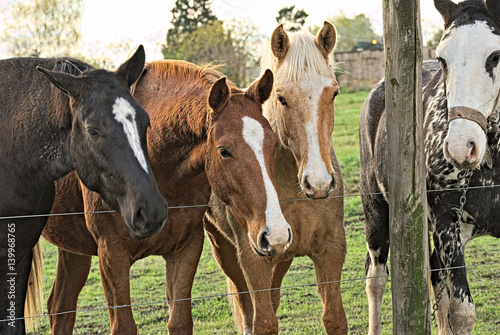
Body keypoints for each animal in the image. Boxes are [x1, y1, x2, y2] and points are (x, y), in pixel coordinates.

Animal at [37, 59, 288, 334]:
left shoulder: (186, 248)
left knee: (60, 307)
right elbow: (124, 326)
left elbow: (180, 322)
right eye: (224, 151)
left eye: (274, 144)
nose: (276, 235)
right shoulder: (112, 255)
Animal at [203, 21, 348, 335]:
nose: (318, 183)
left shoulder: (330, 249)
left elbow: (334, 318)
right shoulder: (253, 259)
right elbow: (263, 321)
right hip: (223, 249)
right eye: (281, 98)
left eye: (333, 93)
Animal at [360, 1, 500, 334]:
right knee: (376, 279)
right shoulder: (447, 221)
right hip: (376, 215)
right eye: (442, 59)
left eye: (495, 56)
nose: (461, 146)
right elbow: (461, 313)